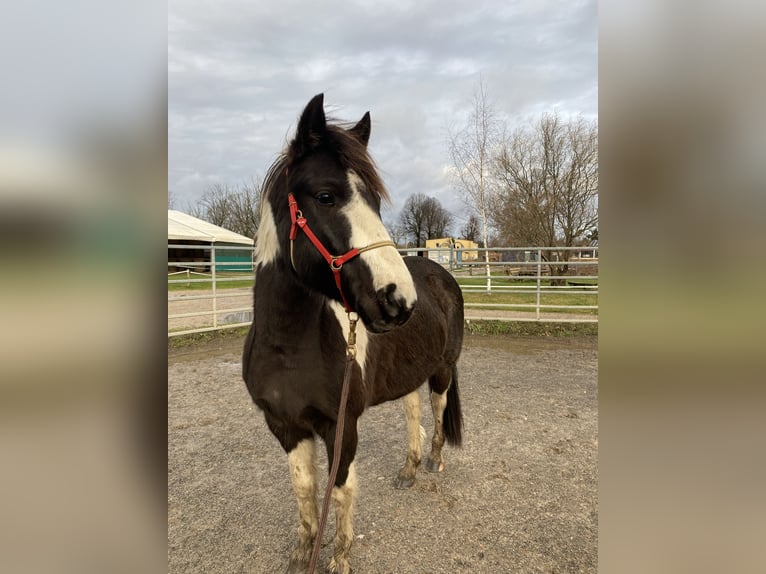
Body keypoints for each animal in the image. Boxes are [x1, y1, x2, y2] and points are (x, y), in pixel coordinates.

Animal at [243, 94, 464, 574]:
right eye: (326, 196)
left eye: (376, 203)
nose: (399, 299)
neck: (289, 346)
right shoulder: (284, 425)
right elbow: (305, 490)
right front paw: (302, 552)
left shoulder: (340, 425)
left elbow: (341, 489)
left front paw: (339, 558)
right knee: (412, 413)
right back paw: (408, 470)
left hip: (443, 370)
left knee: (436, 412)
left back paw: (433, 461)